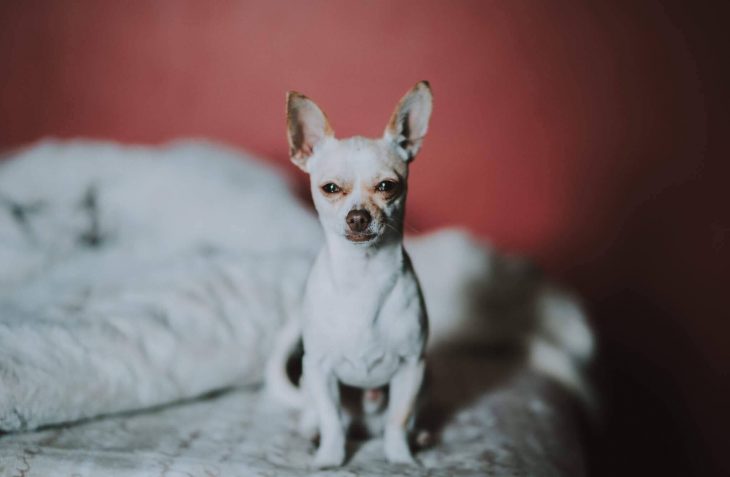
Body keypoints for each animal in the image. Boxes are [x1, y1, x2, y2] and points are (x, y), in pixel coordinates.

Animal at [266, 81, 432, 464]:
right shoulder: (319, 369)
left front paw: (401, 459)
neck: (363, 274)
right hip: (309, 384)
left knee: (399, 420)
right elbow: (332, 421)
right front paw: (329, 459)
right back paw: (311, 433)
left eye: (387, 186)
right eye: (330, 188)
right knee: (320, 416)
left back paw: (416, 437)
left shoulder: (412, 368)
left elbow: (398, 420)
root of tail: (365, 427)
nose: (358, 217)